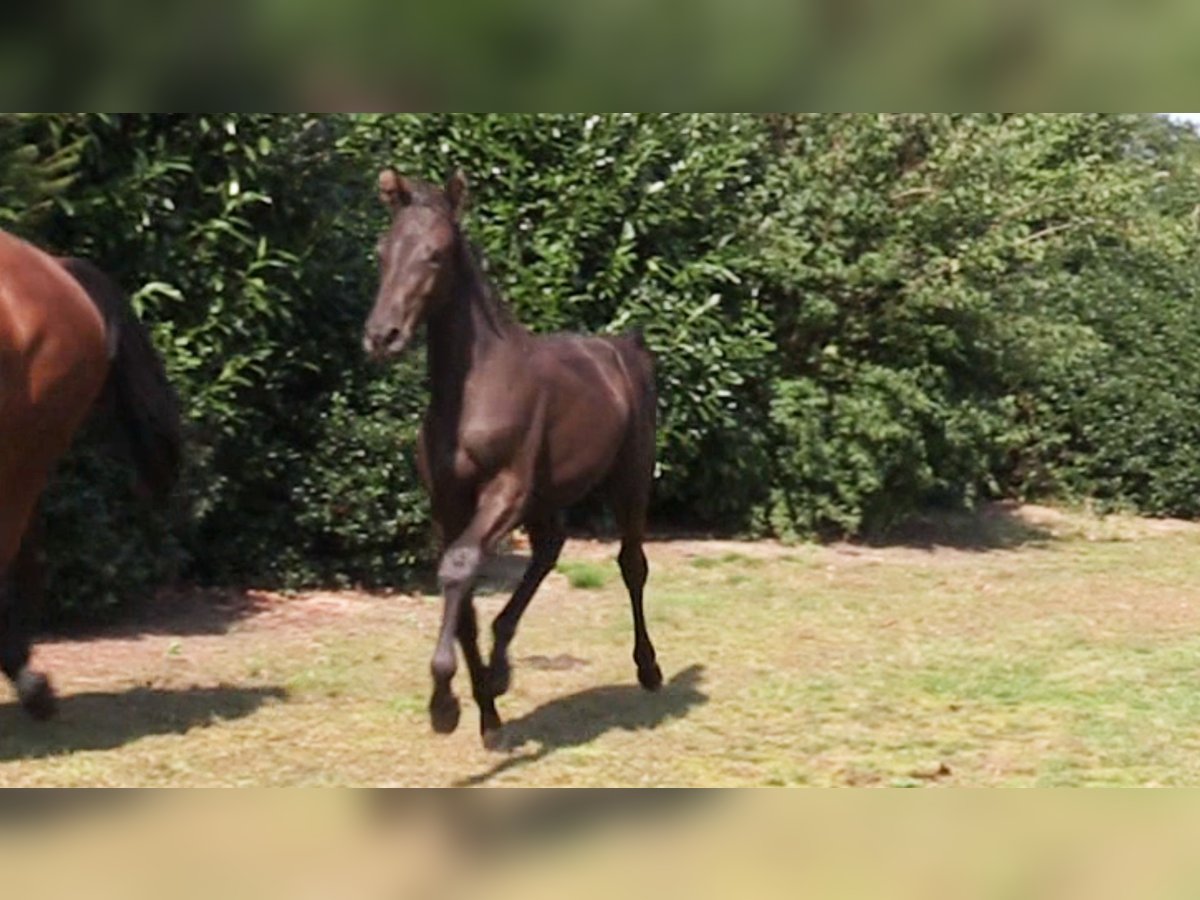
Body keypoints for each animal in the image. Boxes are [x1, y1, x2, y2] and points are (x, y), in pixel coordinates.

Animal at [364, 168, 667, 748]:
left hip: (630, 477)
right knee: (549, 550)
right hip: (548, 495)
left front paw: (445, 705)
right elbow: (462, 597)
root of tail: (626, 348)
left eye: (436, 254)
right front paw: (486, 708)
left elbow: (460, 566)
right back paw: (502, 667)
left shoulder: (505, 488)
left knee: (631, 564)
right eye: (382, 251)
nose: (382, 336)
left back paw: (649, 669)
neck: (473, 389)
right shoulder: (448, 500)